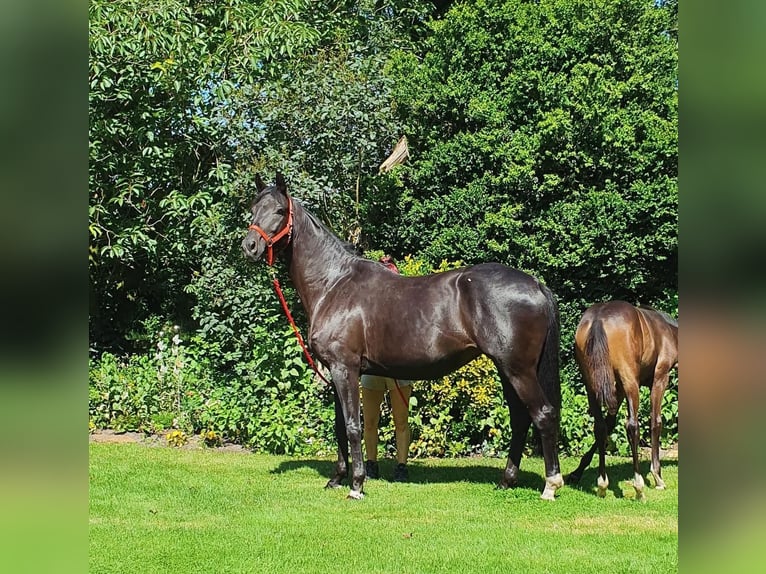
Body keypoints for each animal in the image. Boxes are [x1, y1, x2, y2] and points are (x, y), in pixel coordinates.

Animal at [243, 173, 568, 502]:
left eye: (280, 211)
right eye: (254, 208)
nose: (250, 246)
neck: (333, 284)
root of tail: (536, 284)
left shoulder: (344, 368)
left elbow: (353, 426)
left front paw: (356, 485)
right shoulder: (337, 372)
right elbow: (339, 426)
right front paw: (336, 479)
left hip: (518, 370)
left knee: (543, 414)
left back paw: (550, 485)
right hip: (508, 370)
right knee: (520, 418)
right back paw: (506, 480)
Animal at [568, 302, 680, 504]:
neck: (669, 331)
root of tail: (598, 318)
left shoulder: (617, 389)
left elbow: (609, 425)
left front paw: (577, 472)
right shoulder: (660, 378)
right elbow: (656, 422)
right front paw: (657, 476)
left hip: (592, 385)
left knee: (599, 426)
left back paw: (602, 484)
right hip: (630, 381)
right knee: (632, 426)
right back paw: (639, 487)